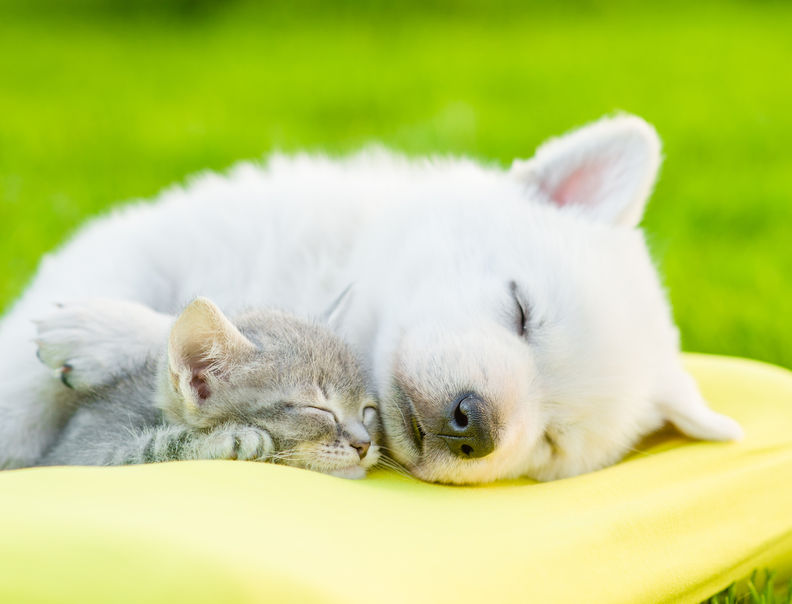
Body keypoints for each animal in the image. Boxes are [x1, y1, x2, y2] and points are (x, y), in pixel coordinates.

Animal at [31, 296, 378, 476]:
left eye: (368, 410)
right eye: (317, 408)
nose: (365, 443)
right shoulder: (80, 455)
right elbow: (145, 450)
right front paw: (223, 438)